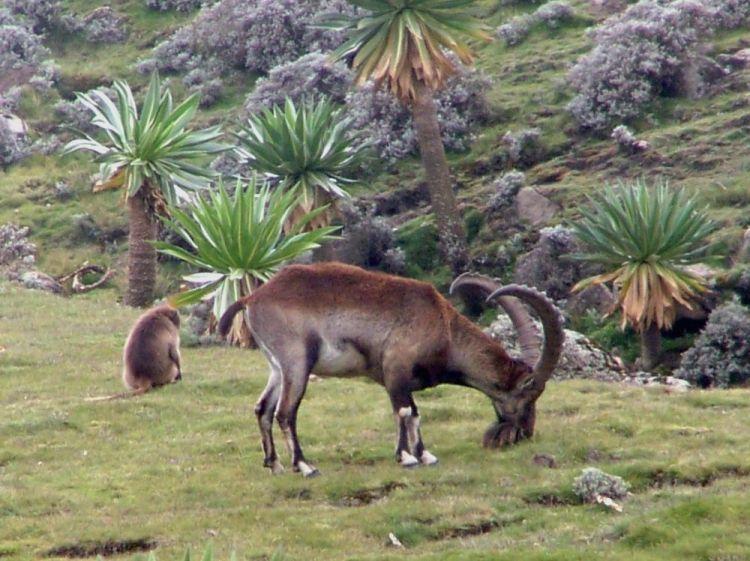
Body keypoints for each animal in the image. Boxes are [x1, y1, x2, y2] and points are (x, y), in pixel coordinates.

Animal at [219, 262, 564, 477]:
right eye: (529, 397)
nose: (526, 434)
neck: (443, 328)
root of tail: (252, 297)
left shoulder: (402, 380)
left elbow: (414, 412)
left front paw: (424, 455)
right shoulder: (395, 368)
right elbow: (404, 411)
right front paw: (408, 457)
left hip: (277, 367)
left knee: (262, 409)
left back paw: (274, 464)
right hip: (297, 362)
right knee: (285, 413)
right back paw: (304, 466)